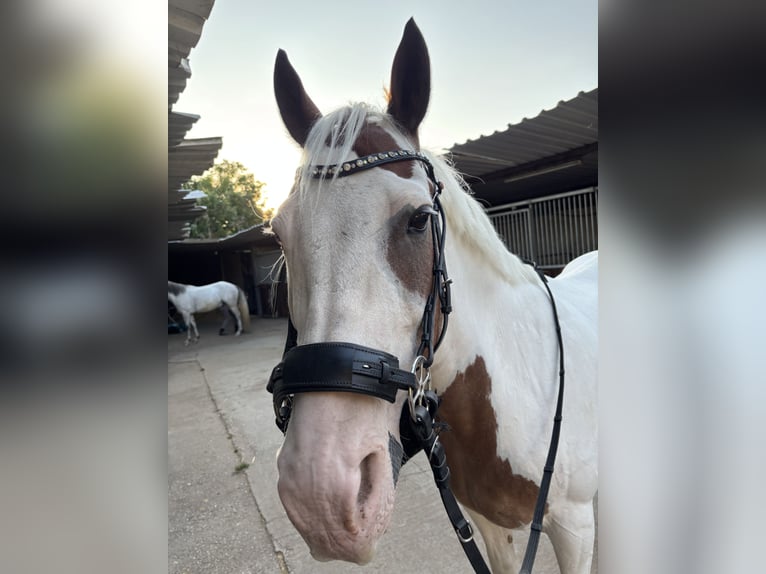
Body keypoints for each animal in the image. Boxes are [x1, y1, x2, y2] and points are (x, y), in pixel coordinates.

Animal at [267, 19, 597, 574]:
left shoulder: (574, 528)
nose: (322, 497)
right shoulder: (493, 528)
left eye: (420, 219)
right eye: (279, 234)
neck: (518, 384)